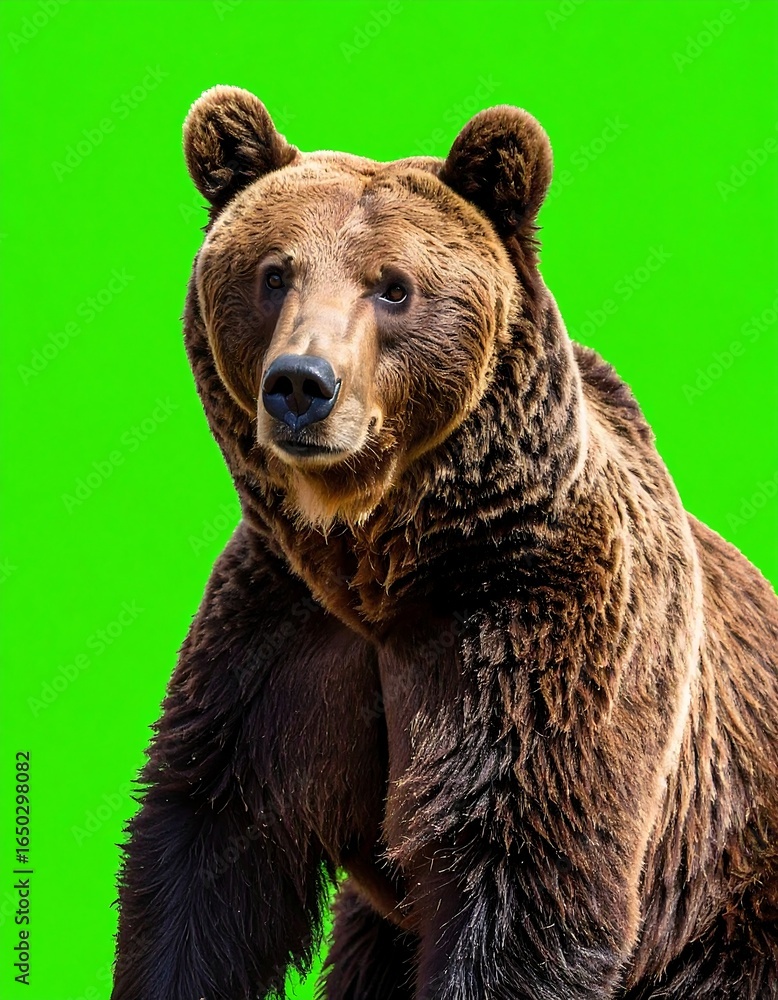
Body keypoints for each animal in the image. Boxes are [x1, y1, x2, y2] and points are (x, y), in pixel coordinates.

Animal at [110, 86, 778, 1000]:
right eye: (273, 273)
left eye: (393, 288)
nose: (301, 386)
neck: (379, 561)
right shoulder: (279, 638)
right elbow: (208, 862)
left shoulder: (537, 630)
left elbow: (519, 879)